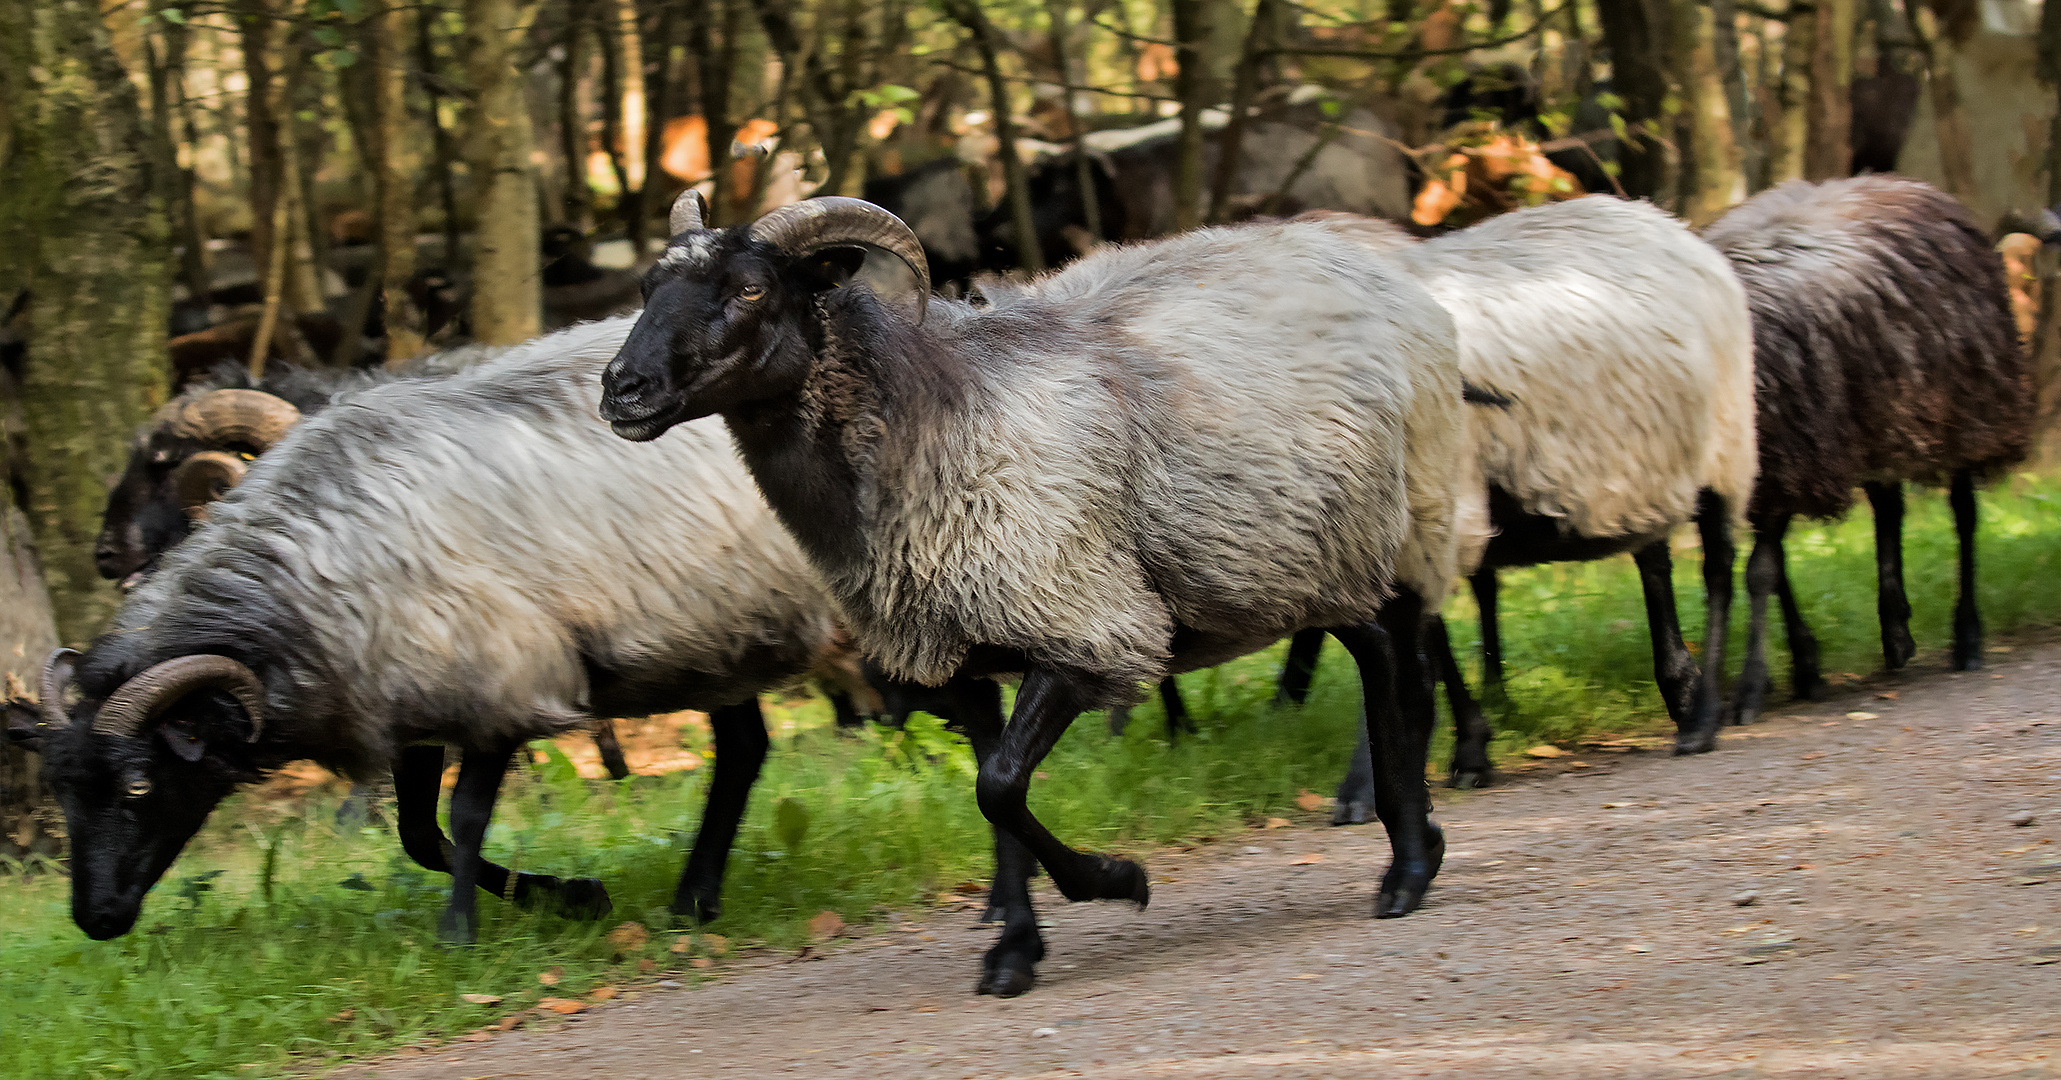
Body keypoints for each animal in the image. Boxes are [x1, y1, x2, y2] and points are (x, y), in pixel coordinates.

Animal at [30, 321, 869, 943]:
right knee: (743, 750)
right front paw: (571, 898)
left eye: (138, 784)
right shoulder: (407, 700)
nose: (95, 919)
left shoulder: (502, 676)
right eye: (63, 790)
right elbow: (417, 835)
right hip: (725, 629)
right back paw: (694, 899)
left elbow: (461, 818)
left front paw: (461, 933)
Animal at [597, 191, 1467, 997]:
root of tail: (1372, 261)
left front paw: (1116, 880)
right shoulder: (962, 661)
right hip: (1311, 554)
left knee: (1399, 655)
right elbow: (993, 802)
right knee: (1378, 647)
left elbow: (1001, 788)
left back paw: (1408, 864)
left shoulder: (1081, 624)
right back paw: (1416, 840)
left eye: (749, 289)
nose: (623, 389)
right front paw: (1015, 947)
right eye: (648, 285)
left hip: (1397, 519)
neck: (926, 416)